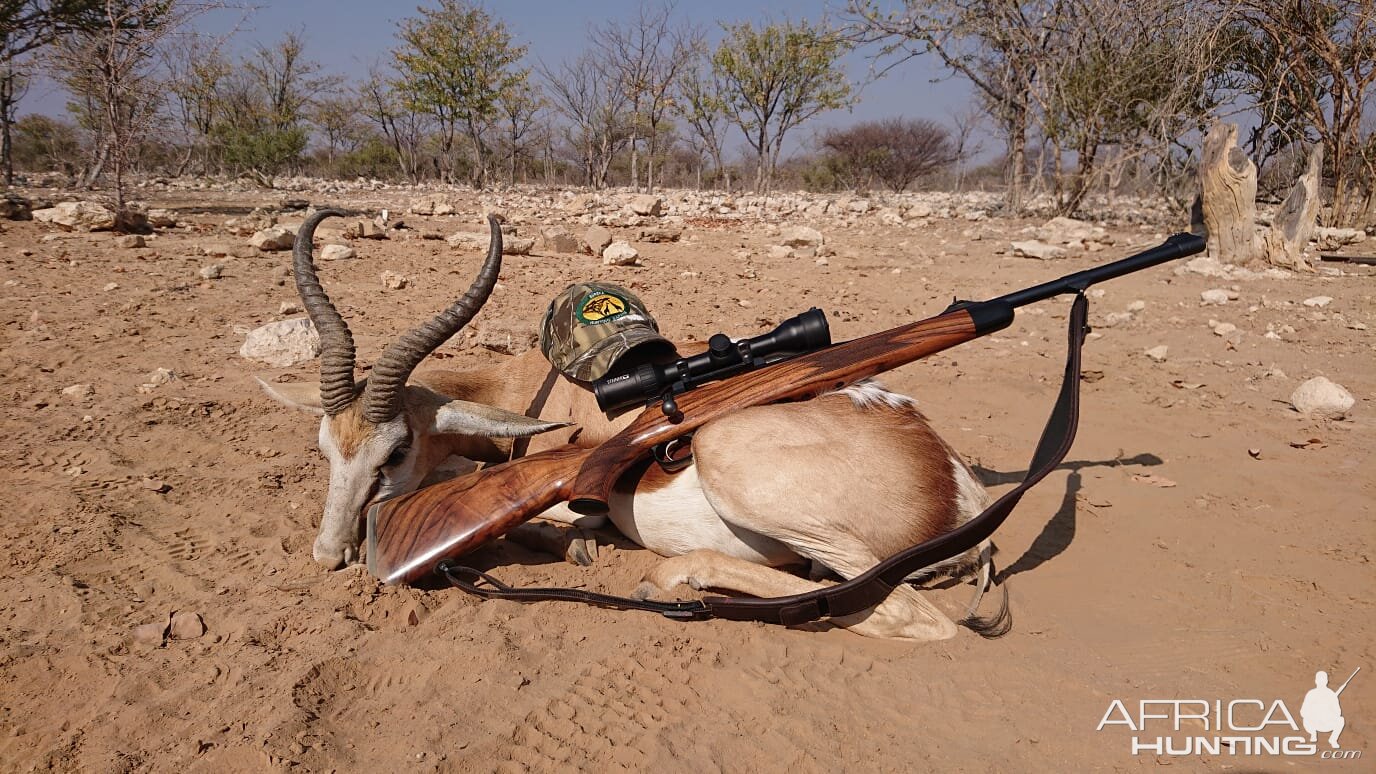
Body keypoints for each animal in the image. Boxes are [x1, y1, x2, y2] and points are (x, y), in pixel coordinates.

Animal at [260, 209, 1012, 639]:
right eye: (326, 447)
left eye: (393, 453)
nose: (330, 555)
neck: (533, 391)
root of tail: (955, 485)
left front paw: (573, 545)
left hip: (730, 453)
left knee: (903, 614)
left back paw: (668, 579)